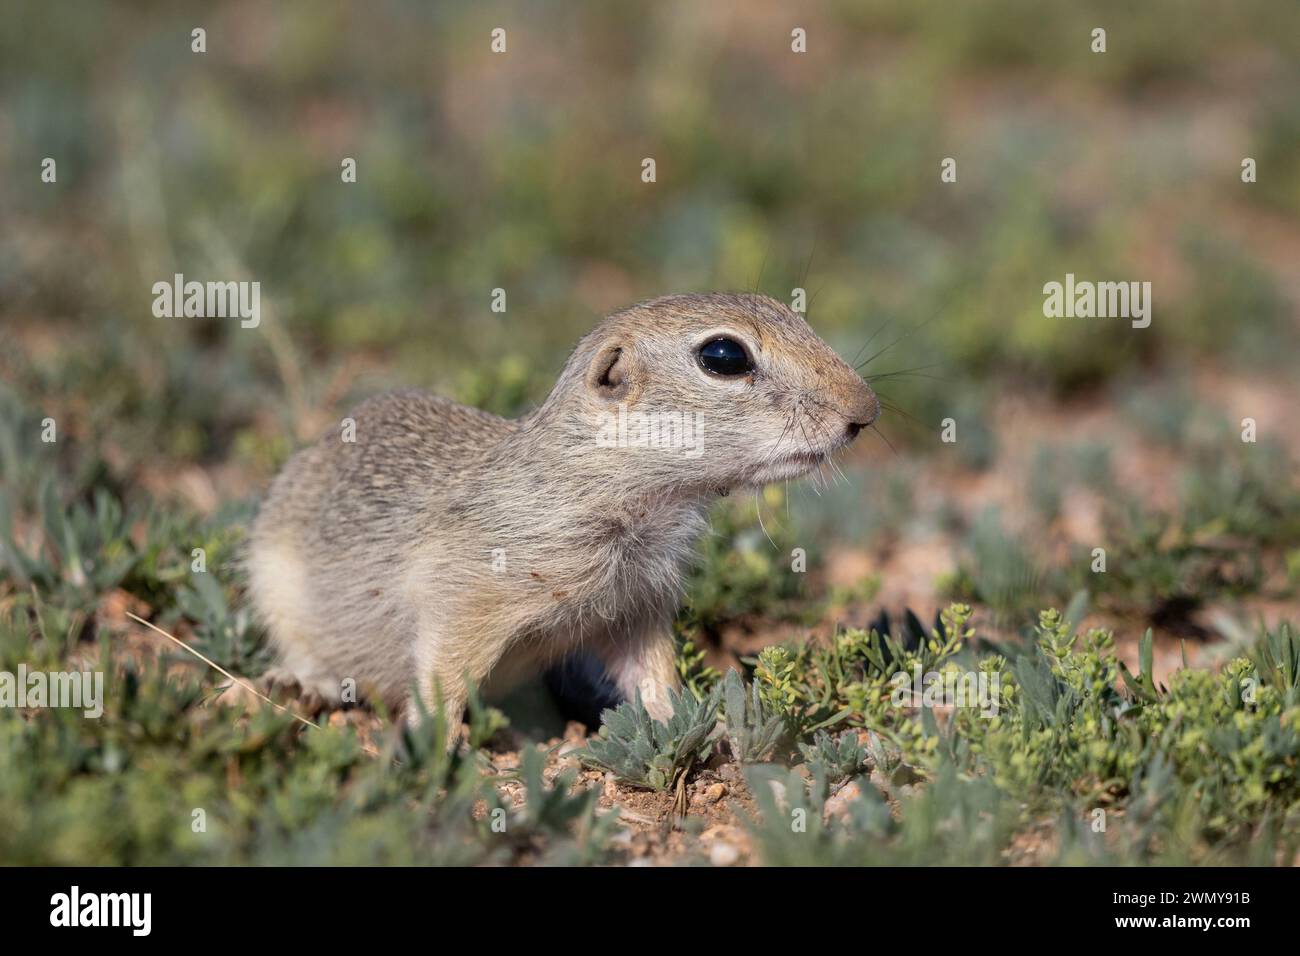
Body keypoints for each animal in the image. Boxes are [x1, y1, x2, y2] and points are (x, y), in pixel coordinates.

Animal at [245, 291, 873, 738]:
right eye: (724, 356)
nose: (866, 410)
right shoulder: (466, 597)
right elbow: (443, 674)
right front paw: (433, 753)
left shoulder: (635, 608)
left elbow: (653, 674)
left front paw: (691, 729)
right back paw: (301, 686)